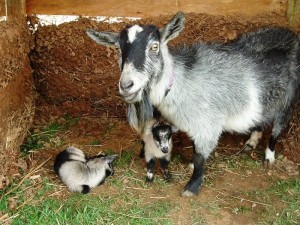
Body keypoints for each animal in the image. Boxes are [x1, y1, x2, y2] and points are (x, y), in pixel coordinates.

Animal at [86, 11, 300, 197]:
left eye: (154, 47)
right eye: (118, 48)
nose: (126, 85)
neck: (181, 83)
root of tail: (292, 35)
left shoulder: (209, 125)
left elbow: (200, 156)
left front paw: (192, 186)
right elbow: (194, 148)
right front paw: (190, 165)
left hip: (288, 98)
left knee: (278, 128)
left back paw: (269, 156)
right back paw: (252, 141)